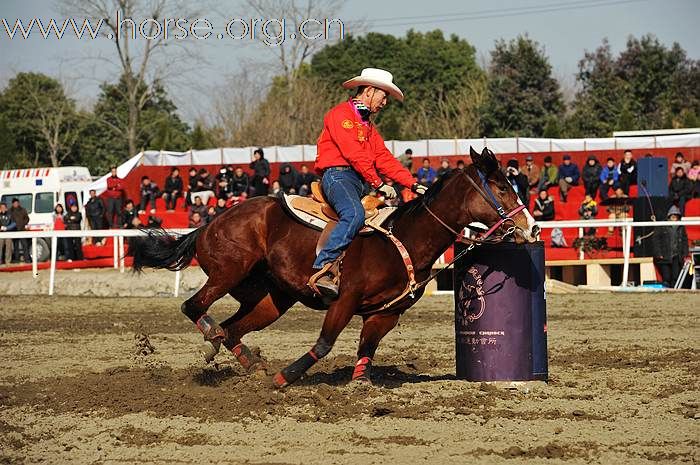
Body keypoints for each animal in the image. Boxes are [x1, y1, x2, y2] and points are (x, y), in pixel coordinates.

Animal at [130, 147, 536, 386]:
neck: (402, 240)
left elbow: (366, 348)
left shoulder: (384, 313)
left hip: (271, 298)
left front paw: (361, 385)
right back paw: (216, 338)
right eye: (501, 187)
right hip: (228, 272)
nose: (531, 227)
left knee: (232, 330)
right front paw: (285, 378)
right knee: (194, 306)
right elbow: (325, 343)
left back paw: (244, 361)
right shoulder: (343, 301)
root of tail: (210, 222)